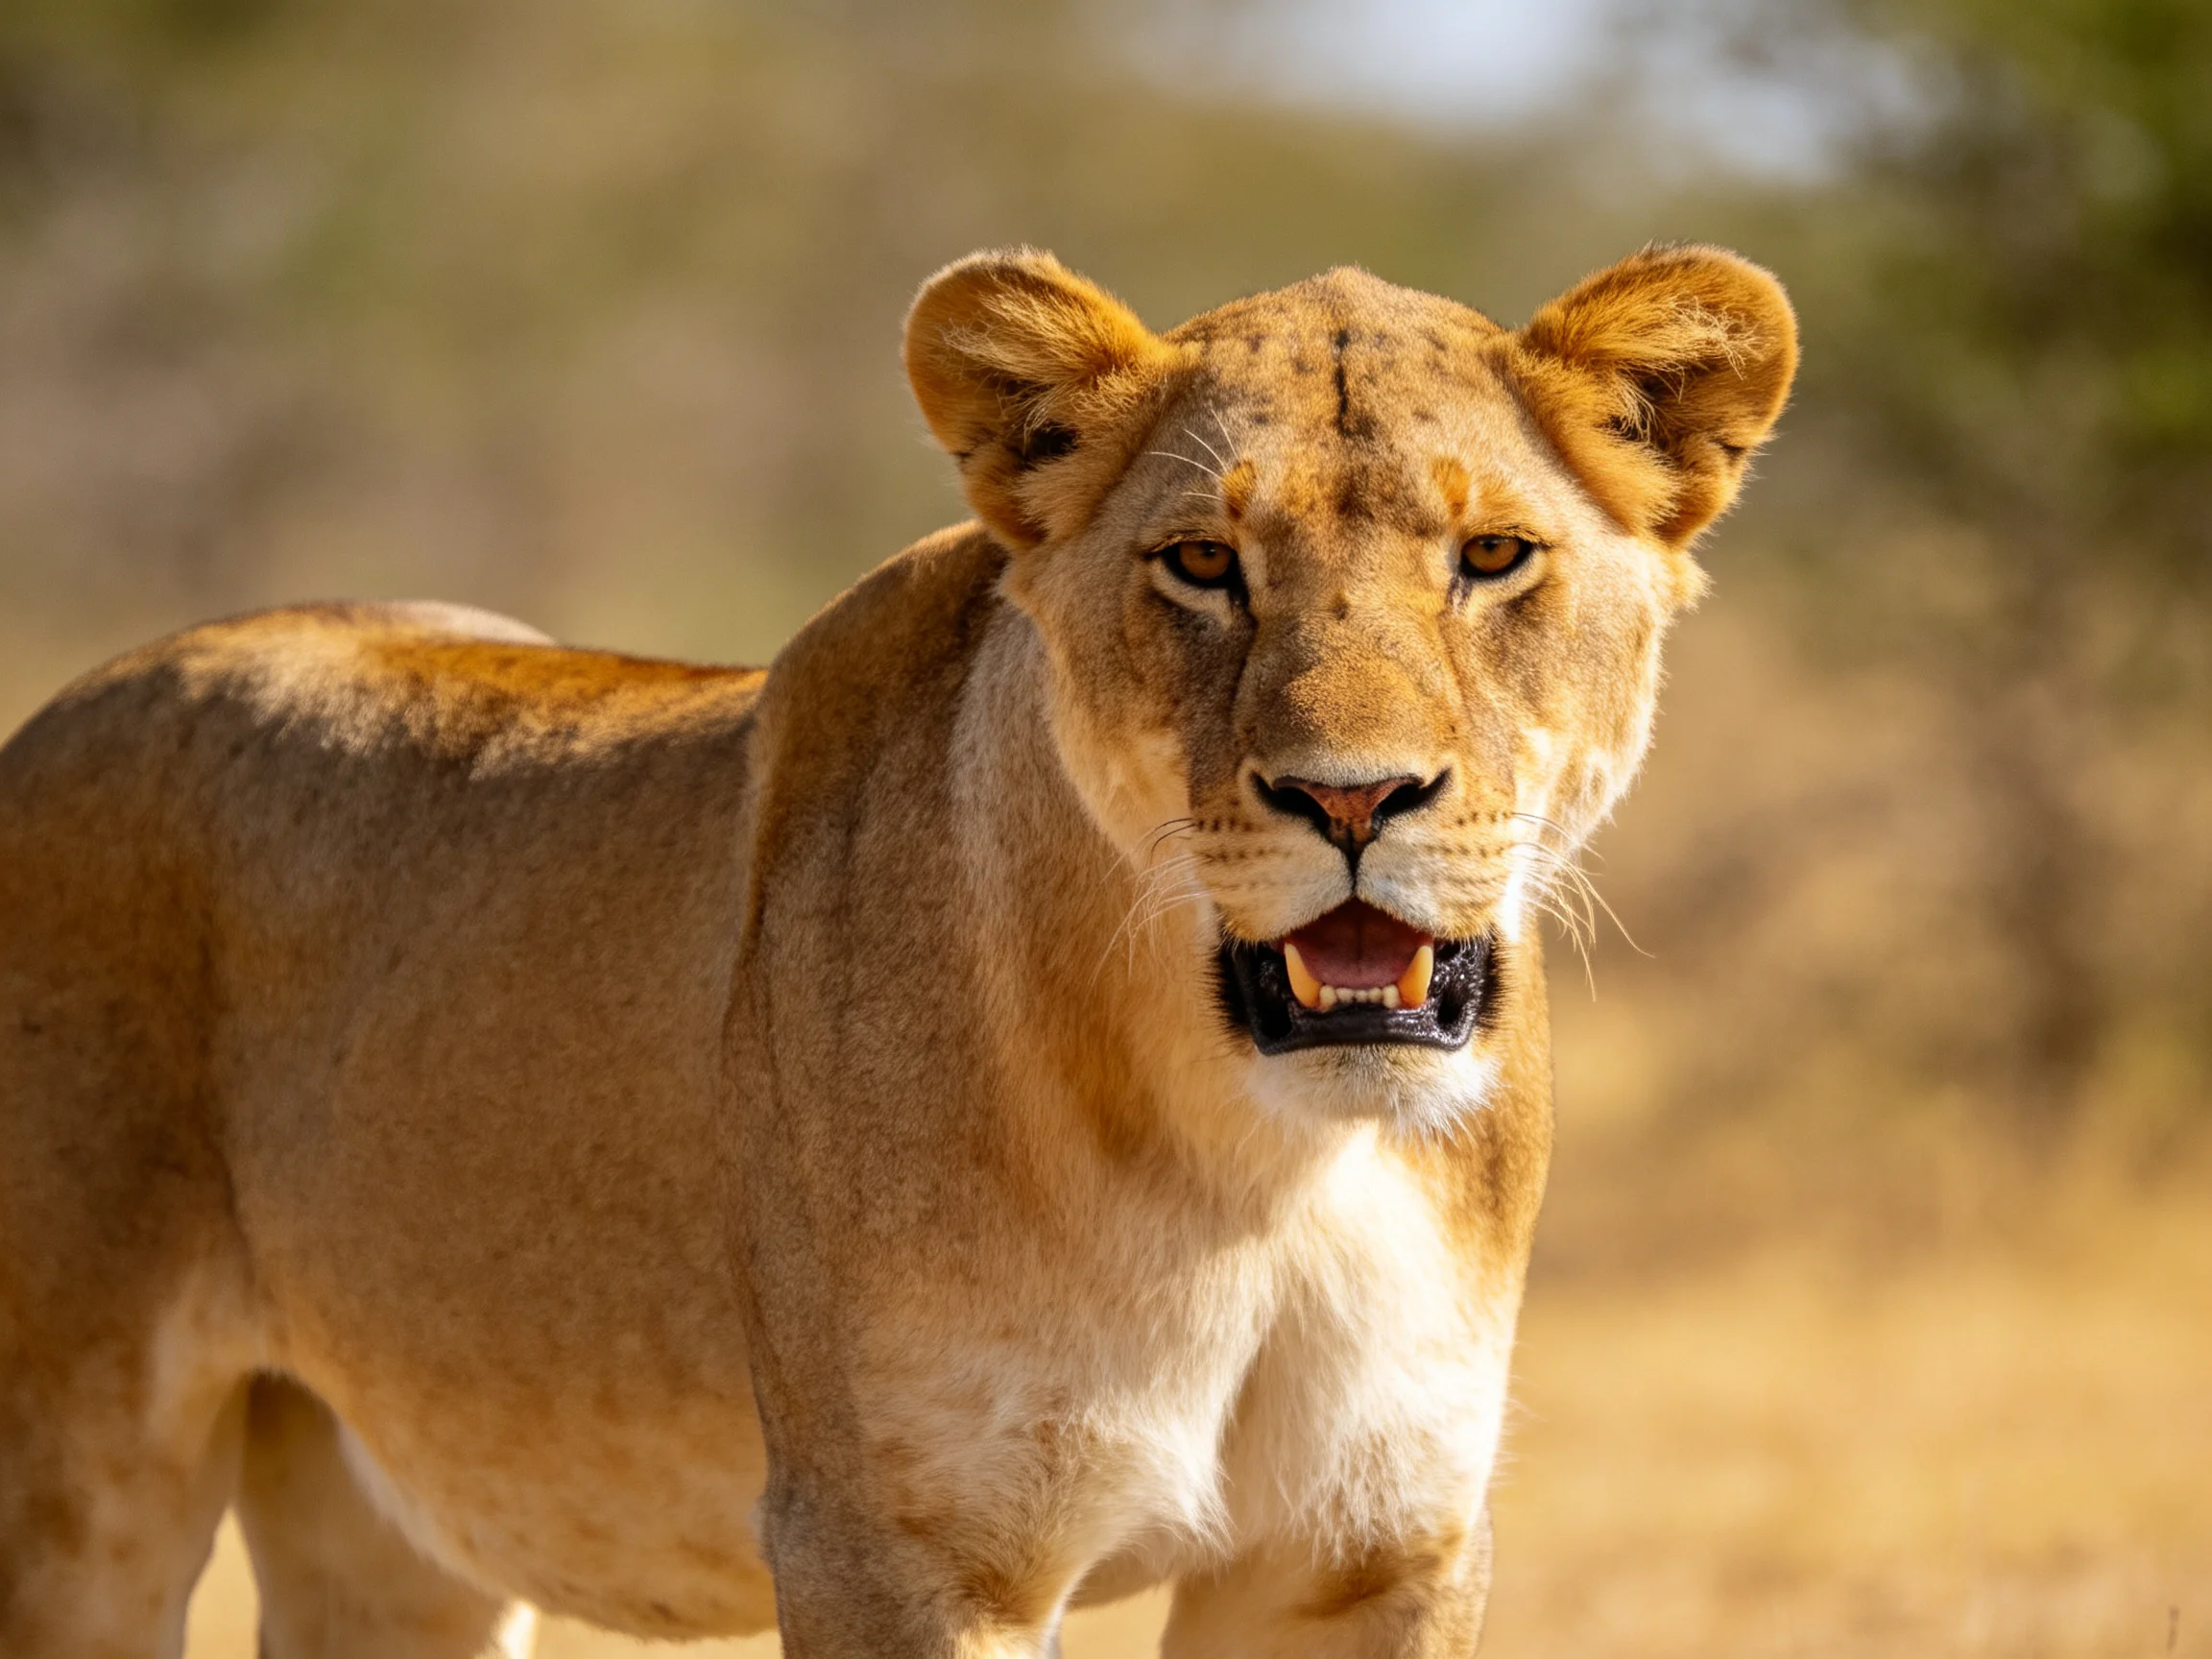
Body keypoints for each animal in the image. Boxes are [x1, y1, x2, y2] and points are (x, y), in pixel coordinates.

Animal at [0, 244, 1793, 1657]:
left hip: (382, 1523)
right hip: (73, 1488)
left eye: (1490, 557)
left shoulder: (1366, 1550)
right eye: (1201, 564)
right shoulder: (899, 1546)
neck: (1265, 1168)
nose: (1350, 797)